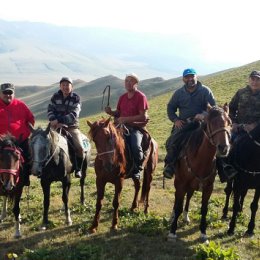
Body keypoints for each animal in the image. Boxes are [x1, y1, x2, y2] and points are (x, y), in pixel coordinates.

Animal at [169, 104, 232, 243]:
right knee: (178, 199)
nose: (224, 148)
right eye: (211, 123)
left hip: (192, 185)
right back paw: (173, 216)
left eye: (229, 122)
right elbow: (178, 206)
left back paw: (185, 216)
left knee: (188, 197)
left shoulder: (208, 188)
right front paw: (172, 232)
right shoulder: (181, 184)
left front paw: (203, 233)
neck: (200, 159)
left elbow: (204, 209)